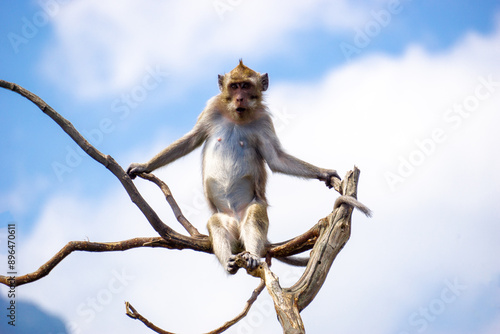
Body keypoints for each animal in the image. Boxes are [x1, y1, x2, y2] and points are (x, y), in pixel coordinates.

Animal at [127, 60, 366, 274]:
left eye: (246, 86)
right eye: (234, 86)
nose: (240, 97)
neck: (237, 116)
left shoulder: (264, 119)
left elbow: (276, 159)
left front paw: (324, 173)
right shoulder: (212, 107)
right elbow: (190, 140)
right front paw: (143, 165)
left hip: (248, 213)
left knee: (254, 213)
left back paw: (251, 255)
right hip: (225, 221)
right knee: (215, 222)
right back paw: (229, 263)